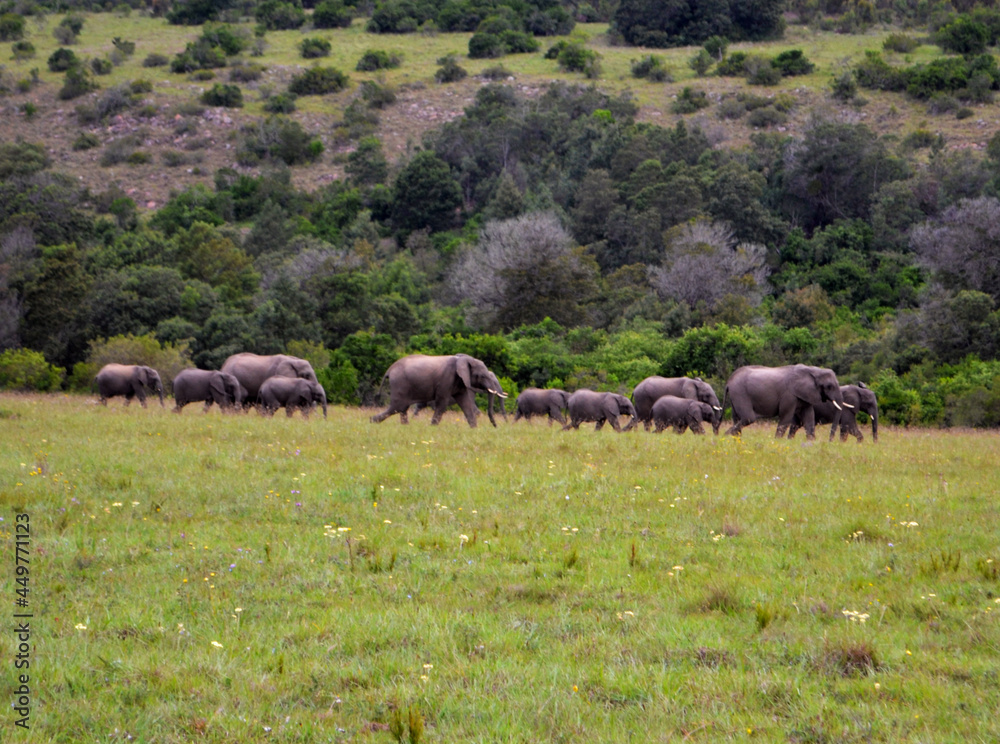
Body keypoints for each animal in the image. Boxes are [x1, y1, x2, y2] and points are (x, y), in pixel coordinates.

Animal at [371, 353, 507, 427]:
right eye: (482, 376)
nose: (496, 427)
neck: (463, 359)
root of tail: (389, 370)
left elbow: (466, 404)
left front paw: (474, 429)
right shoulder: (446, 379)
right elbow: (442, 404)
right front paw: (432, 428)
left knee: (403, 408)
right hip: (400, 383)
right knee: (398, 407)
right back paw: (372, 421)